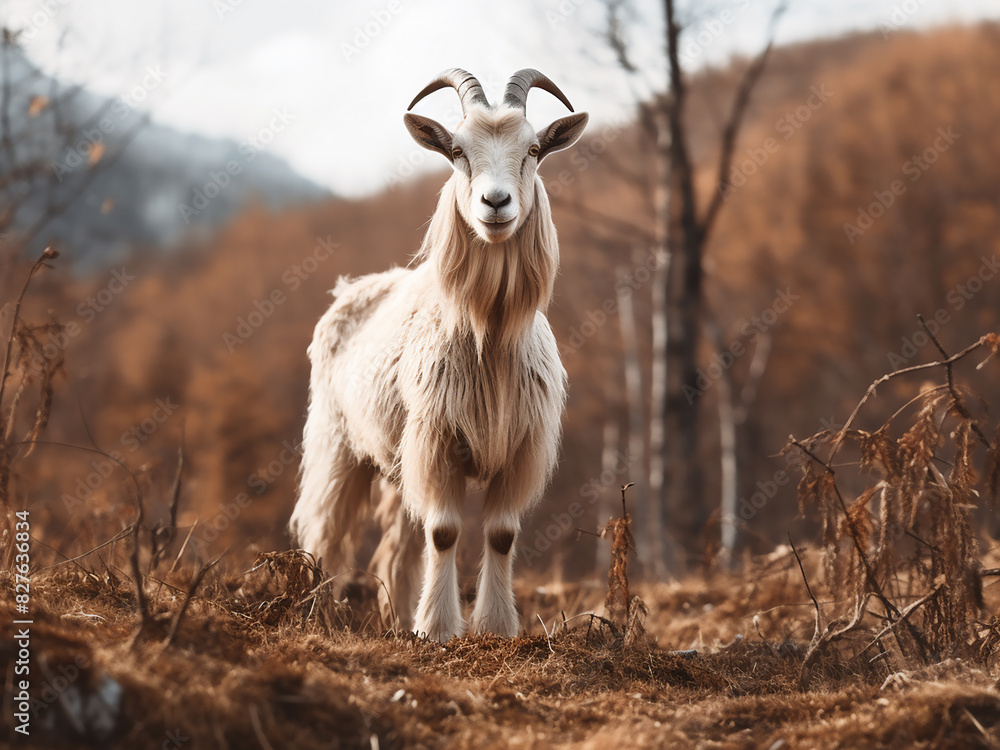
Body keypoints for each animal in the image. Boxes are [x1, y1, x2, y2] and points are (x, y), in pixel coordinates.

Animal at [289, 69, 588, 641]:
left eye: (533, 149)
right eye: (456, 151)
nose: (495, 203)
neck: (489, 335)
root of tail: (348, 290)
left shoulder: (517, 447)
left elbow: (500, 533)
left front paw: (494, 628)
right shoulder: (439, 438)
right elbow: (446, 531)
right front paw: (441, 630)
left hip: (399, 459)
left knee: (397, 548)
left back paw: (398, 618)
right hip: (336, 442)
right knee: (325, 530)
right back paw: (315, 616)